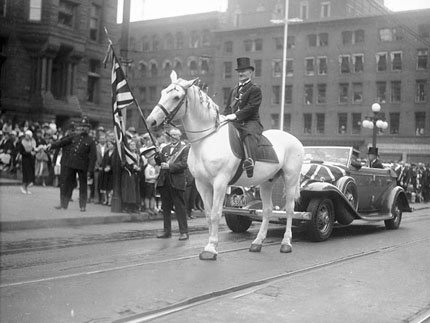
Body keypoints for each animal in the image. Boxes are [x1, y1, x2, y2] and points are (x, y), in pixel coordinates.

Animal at [146, 71, 304, 260]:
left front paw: (211, 249)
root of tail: (295, 139)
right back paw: (257, 243)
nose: (151, 121)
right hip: (267, 182)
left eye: (176, 97)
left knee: (289, 210)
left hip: (290, 179)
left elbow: (216, 214)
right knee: (267, 210)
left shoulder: (220, 183)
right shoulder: (201, 184)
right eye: (163, 92)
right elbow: (208, 214)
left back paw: (286, 243)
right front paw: (209, 245)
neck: (206, 140)